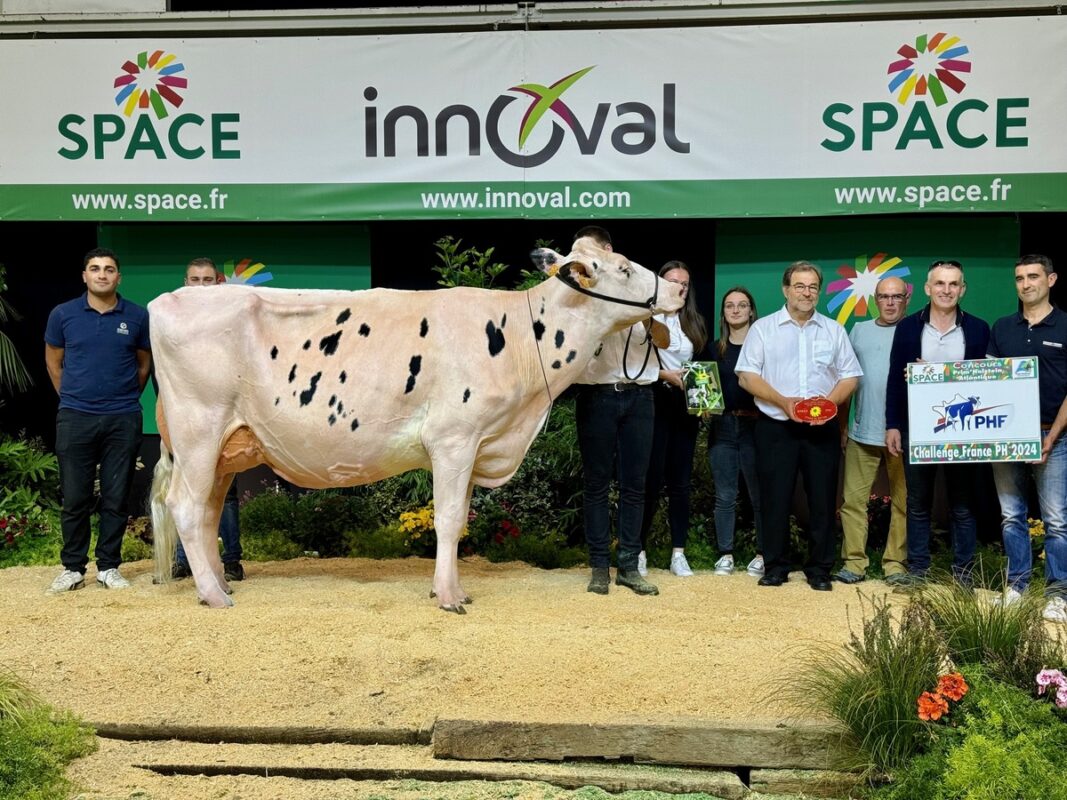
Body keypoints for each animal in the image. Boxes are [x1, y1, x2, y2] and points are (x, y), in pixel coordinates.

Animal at [150, 237, 682, 614]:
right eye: (624, 268)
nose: (678, 288)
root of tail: (168, 299)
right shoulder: (454, 439)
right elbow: (448, 519)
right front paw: (448, 597)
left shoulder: (475, 444)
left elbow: (459, 520)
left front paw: (452, 590)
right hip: (199, 430)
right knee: (186, 507)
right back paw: (216, 596)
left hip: (225, 448)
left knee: (208, 513)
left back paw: (216, 584)